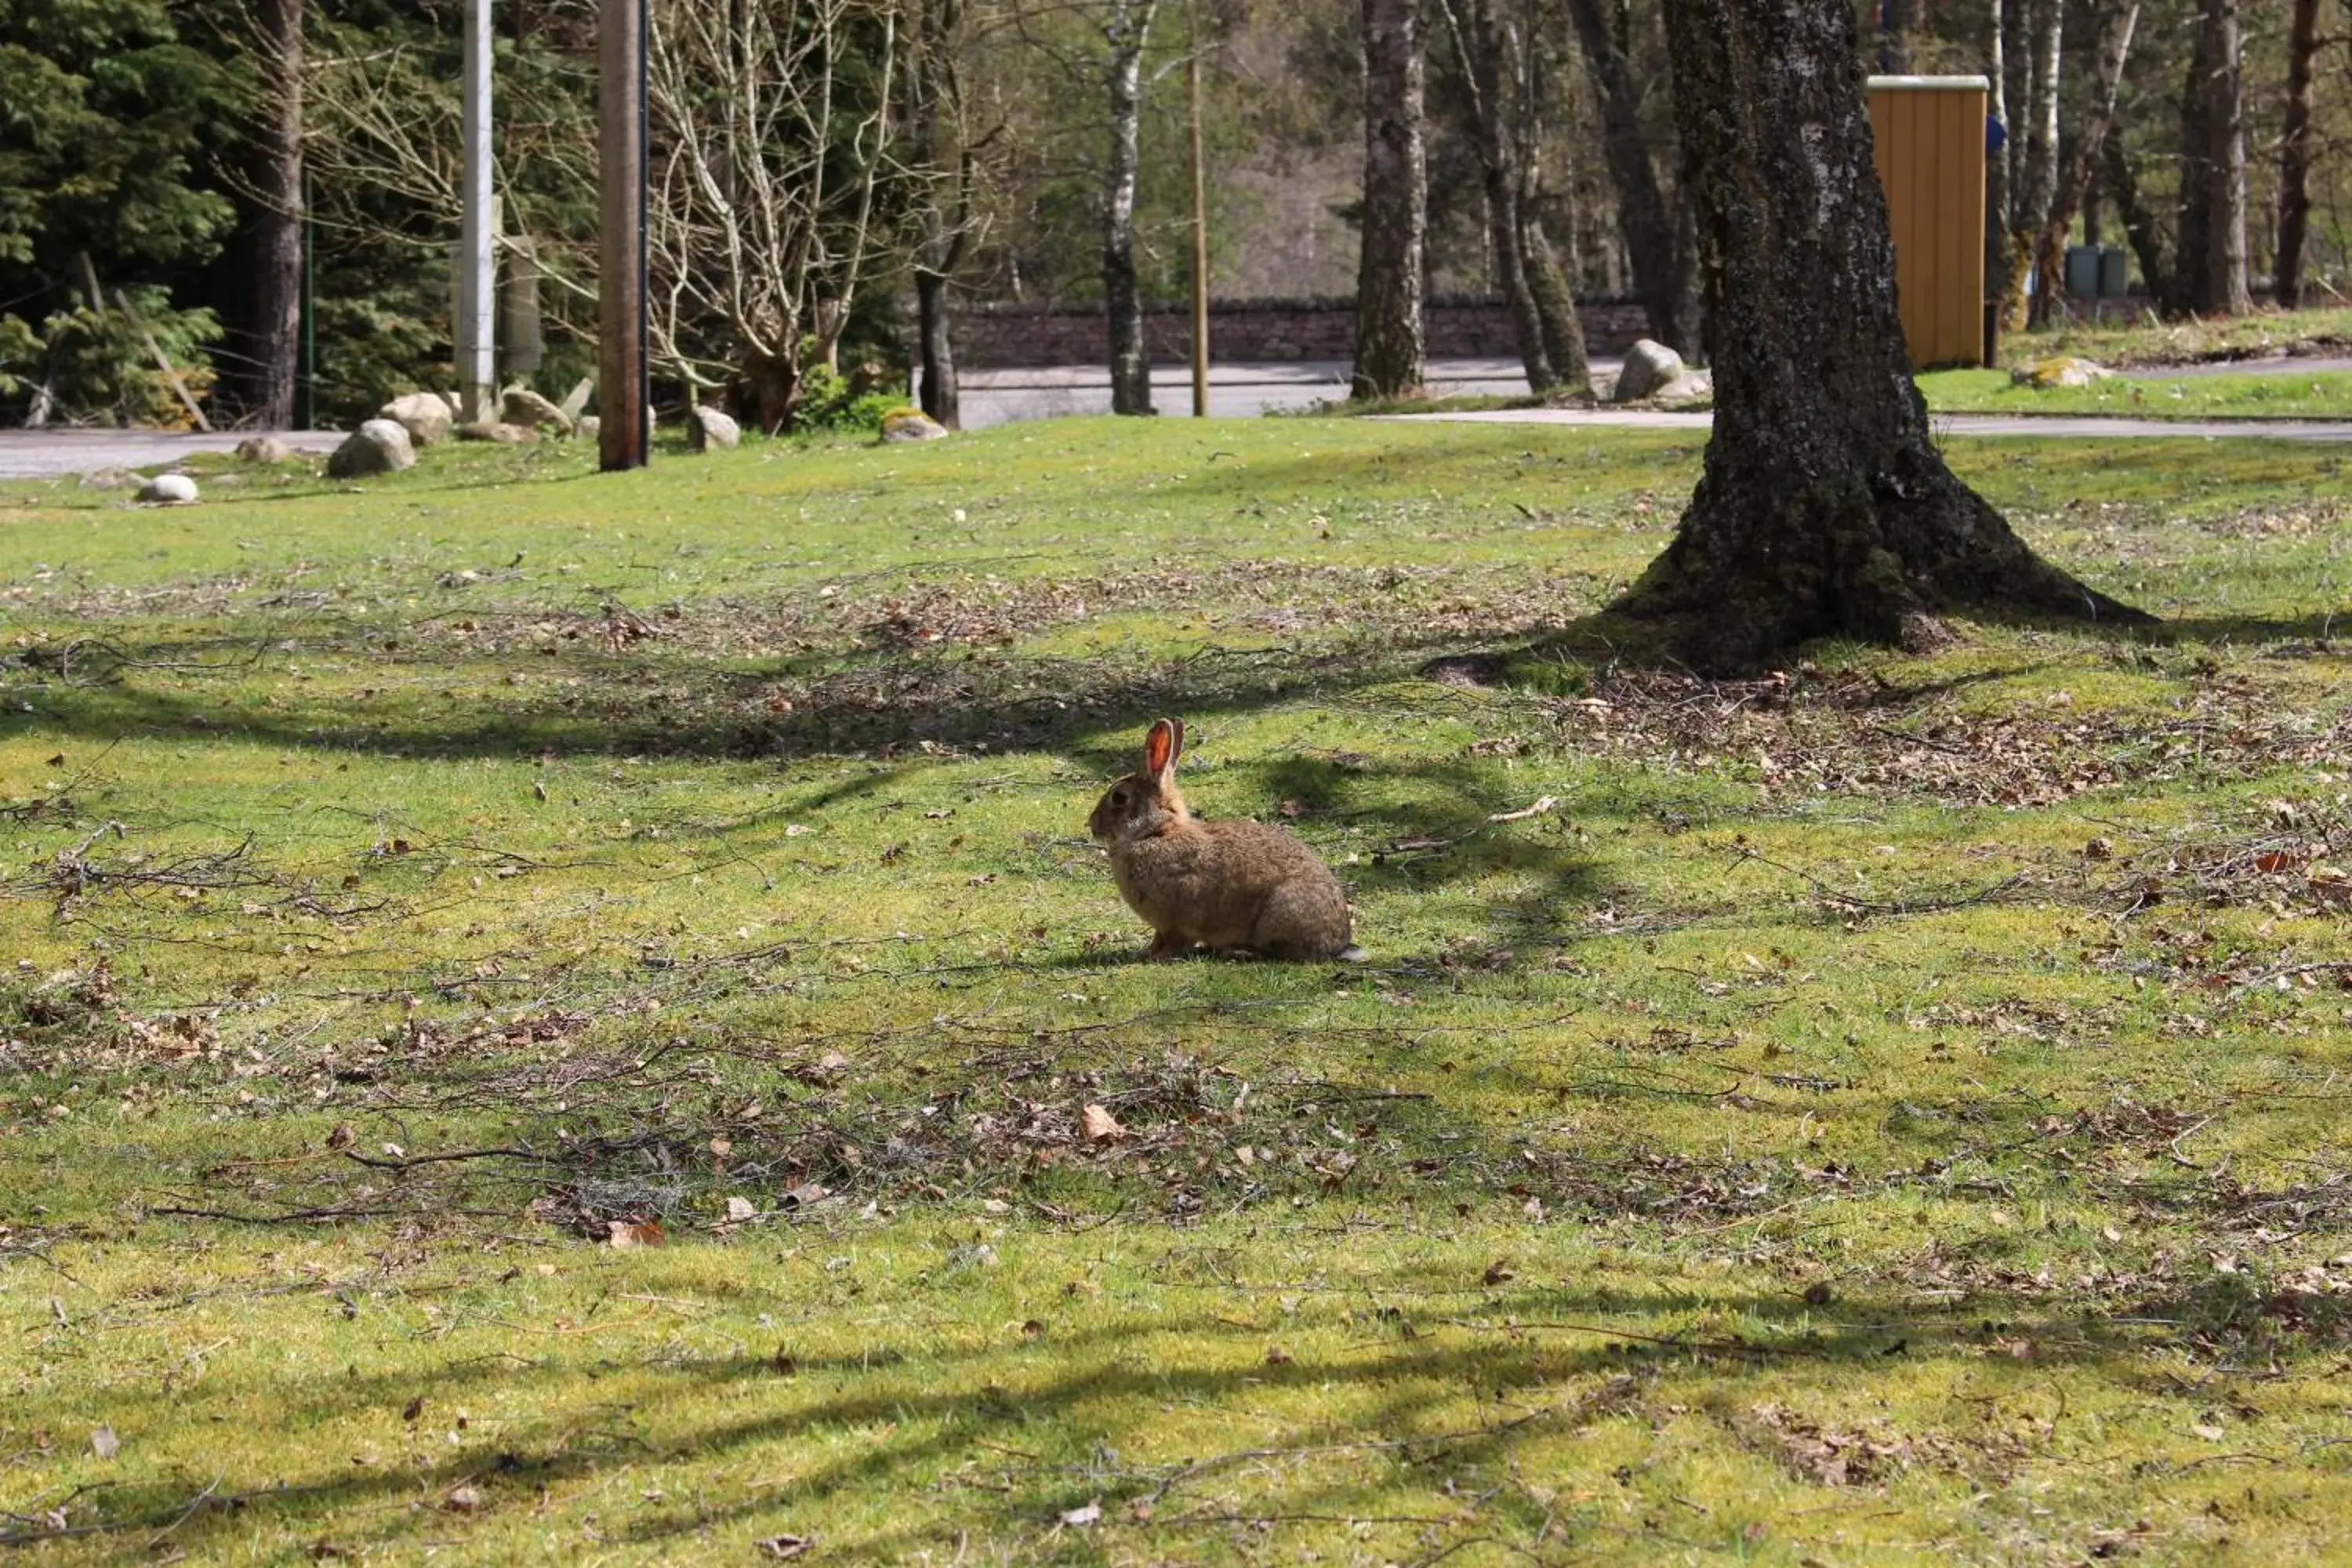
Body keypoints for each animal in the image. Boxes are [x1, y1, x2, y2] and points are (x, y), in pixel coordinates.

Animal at [1082, 719, 1364, 964]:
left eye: (1119, 798)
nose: (1092, 824)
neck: (1156, 832)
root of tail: (1338, 944)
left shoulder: (1176, 920)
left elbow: (1174, 942)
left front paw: (1154, 958)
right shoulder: (1163, 926)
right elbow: (1158, 939)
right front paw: (1144, 953)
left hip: (1279, 914)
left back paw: (1239, 952)